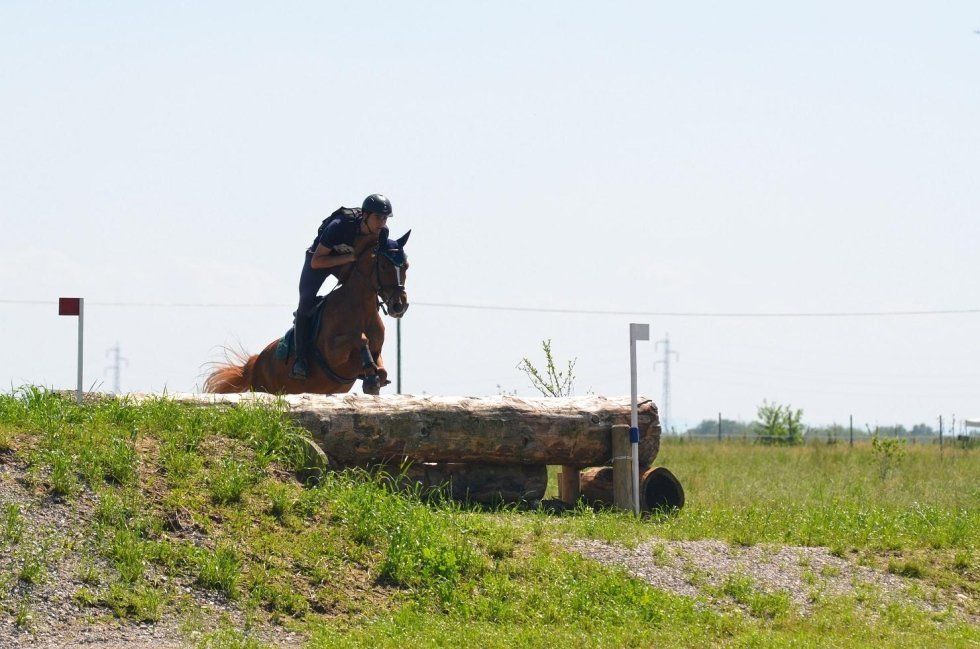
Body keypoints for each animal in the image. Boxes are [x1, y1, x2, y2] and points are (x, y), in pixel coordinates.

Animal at [204, 229, 410, 395]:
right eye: (383, 265)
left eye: (406, 266)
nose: (399, 305)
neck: (361, 311)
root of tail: (255, 363)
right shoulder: (334, 355)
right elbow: (360, 339)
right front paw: (370, 379)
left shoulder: (376, 352)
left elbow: (381, 370)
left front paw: (373, 381)